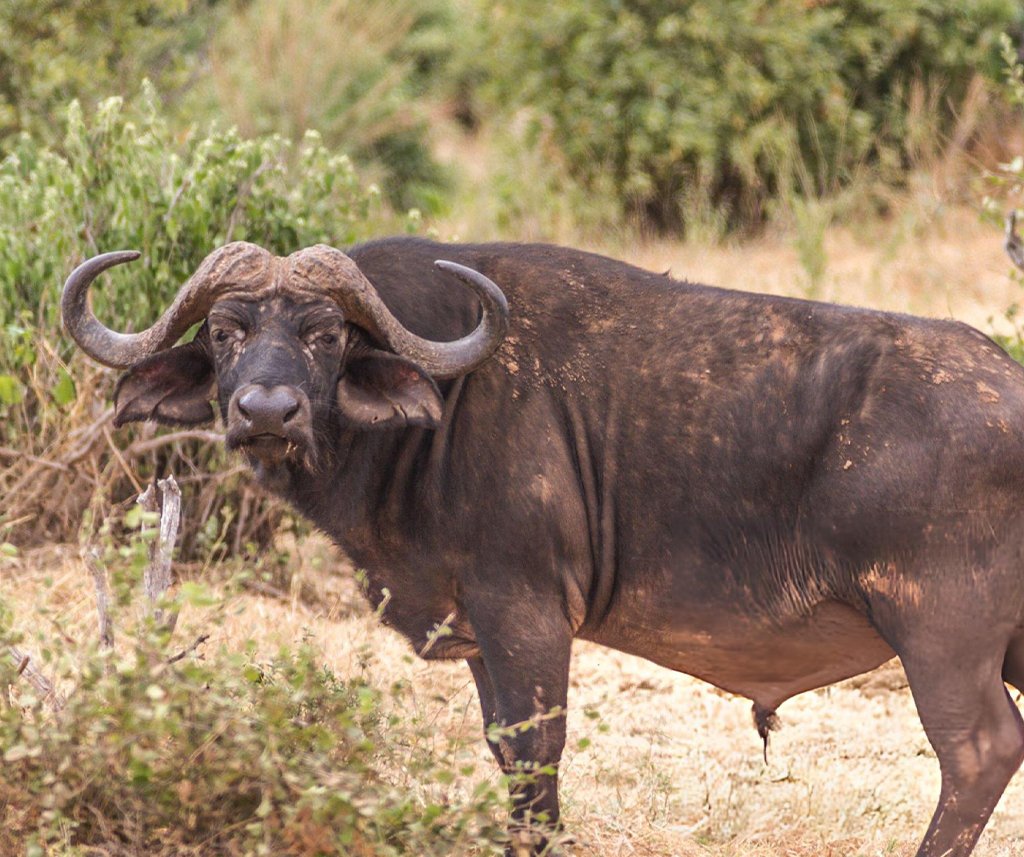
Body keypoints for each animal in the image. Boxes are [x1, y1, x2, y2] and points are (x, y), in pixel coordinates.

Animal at [63, 232, 1024, 857]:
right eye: (226, 331)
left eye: (325, 334)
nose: (267, 410)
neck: (434, 416)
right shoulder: (479, 629)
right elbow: (502, 747)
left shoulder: (523, 610)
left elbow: (536, 751)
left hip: (941, 637)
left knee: (978, 751)